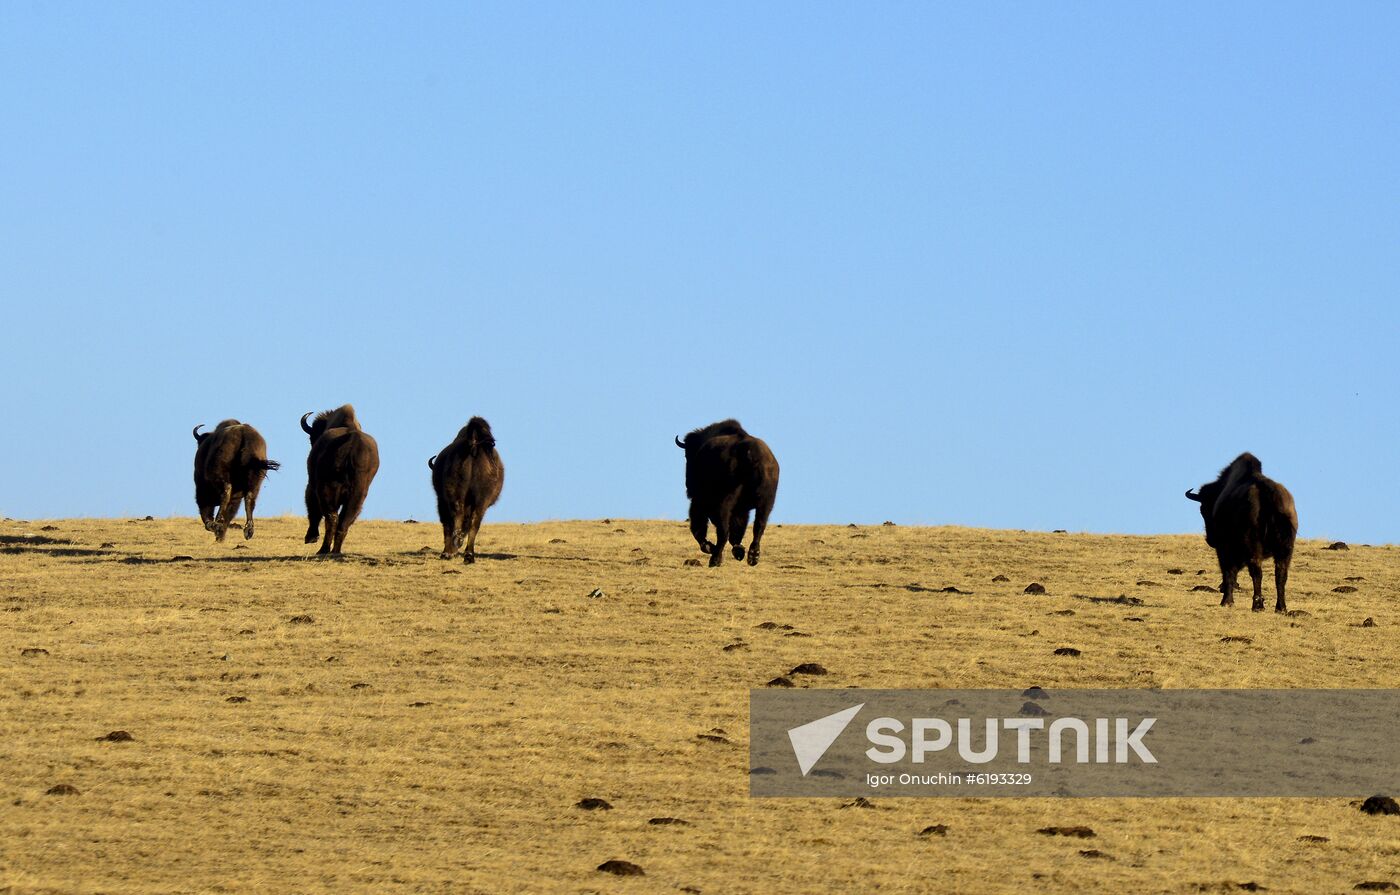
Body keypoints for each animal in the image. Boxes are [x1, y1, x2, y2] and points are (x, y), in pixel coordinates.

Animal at [298, 403, 378, 554]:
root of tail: (352, 440)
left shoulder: (311, 486)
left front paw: (311, 537)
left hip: (326, 490)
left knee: (331, 518)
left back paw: (323, 549)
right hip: (357, 496)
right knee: (344, 521)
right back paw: (335, 551)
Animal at [425, 417, 504, 560]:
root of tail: (473, 445)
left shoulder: (441, 501)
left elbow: (447, 524)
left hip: (454, 497)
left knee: (457, 518)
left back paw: (454, 550)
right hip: (480, 501)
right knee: (473, 522)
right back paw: (468, 554)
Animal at [674, 420, 778, 565]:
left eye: (687, 455)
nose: (688, 485)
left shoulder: (699, 502)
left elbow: (698, 527)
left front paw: (709, 547)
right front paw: (739, 550)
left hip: (721, 503)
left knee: (723, 530)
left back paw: (715, 559)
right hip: (765, 503)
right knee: (759, 526)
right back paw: (752, 556)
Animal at [1187, 451, 1293, 613]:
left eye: (1203, 509)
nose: (1210, 539)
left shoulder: (1224, 550)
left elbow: (1229, 572)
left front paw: (1227, 601)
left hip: (1252, 547)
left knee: (1256, 572)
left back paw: (1257, 606)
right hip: (1285, 549)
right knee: (1280, 574)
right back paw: (1280, 608)